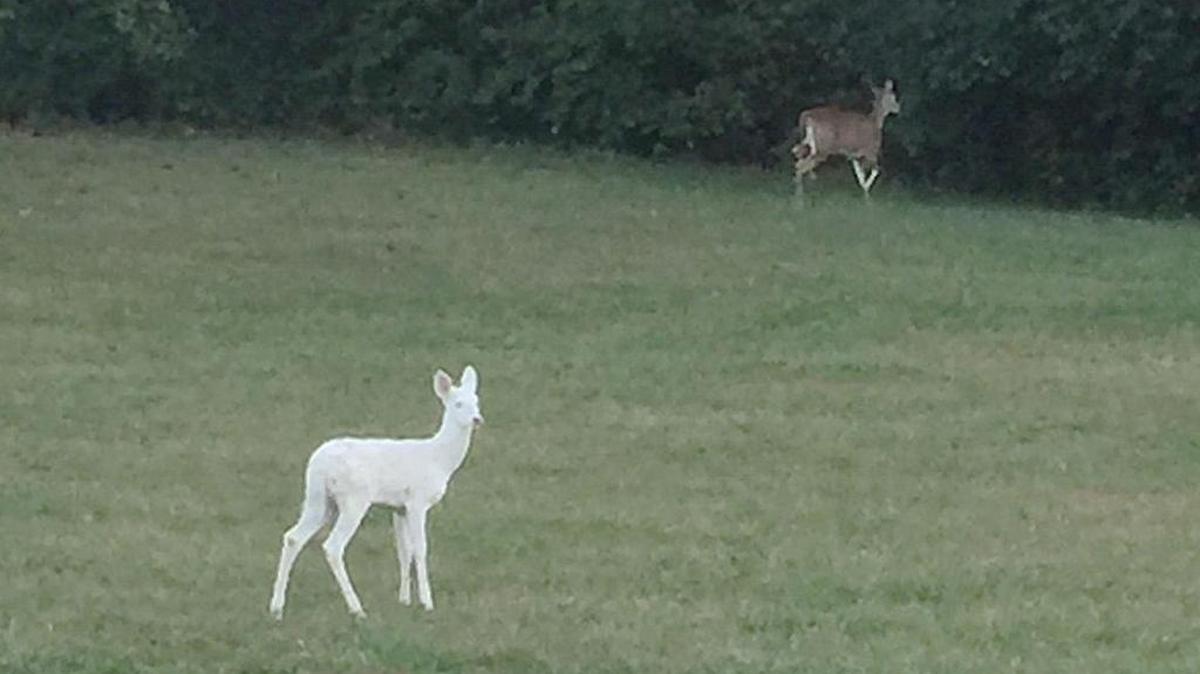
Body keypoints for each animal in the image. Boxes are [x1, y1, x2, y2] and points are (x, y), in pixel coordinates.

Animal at [269, 366, 484, 620]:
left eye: (477, 401)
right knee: (333, 546)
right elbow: (420, 549)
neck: (439, 460)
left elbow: (404, 551)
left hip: (317, 499)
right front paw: (427, 603)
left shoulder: (398, 507)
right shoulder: (417, 500)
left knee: (293, 537)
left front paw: (404, 601)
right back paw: (357, 609)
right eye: (458, 404)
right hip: (353, 498)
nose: (477, 419)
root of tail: (319, 465)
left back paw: (276, 608)